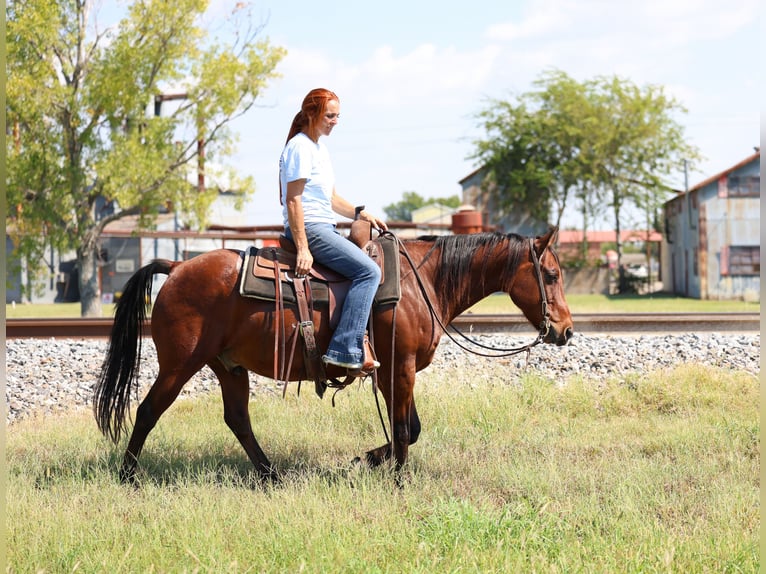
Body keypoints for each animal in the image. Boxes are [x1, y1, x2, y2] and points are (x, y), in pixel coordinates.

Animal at [93, 226, 574, 483]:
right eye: (550, 274)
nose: (566, 330)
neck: (423, 282)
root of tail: (176, 268)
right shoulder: (398, 368)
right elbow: (404, 429)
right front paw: (398, 481)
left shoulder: (394, 371)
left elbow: (410, 428)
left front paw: (368, 459)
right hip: (179, 365)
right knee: (148, 411)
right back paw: (128, 477)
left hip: (229, 366)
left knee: (238, 420)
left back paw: (271, 476)